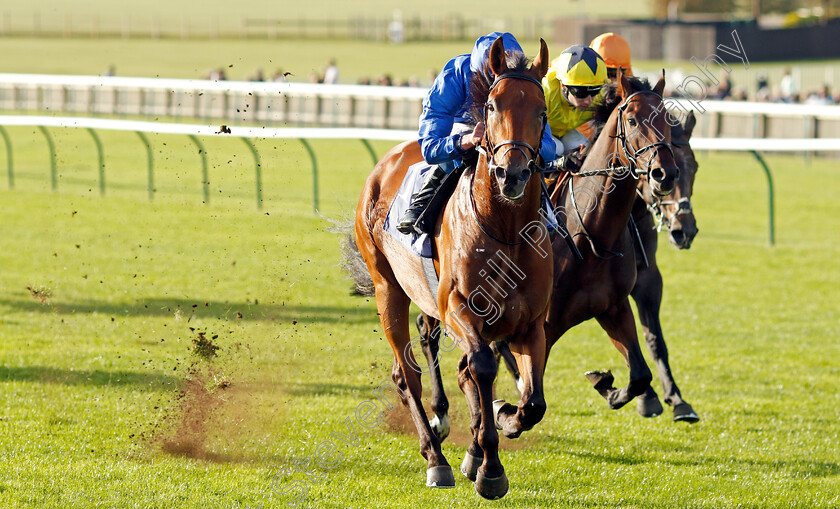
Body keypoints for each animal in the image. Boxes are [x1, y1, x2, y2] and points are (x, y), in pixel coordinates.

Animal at [352, 37, 556, 498]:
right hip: (388, 287)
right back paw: (436, 459)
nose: (512, 174)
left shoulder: (530, 323)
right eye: (493, 106)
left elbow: (532, 401)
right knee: (406, 374)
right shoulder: (457, 307)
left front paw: (501, 422)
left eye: (541, 110)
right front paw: (490, 468)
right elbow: (480, 367)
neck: (506, 230)